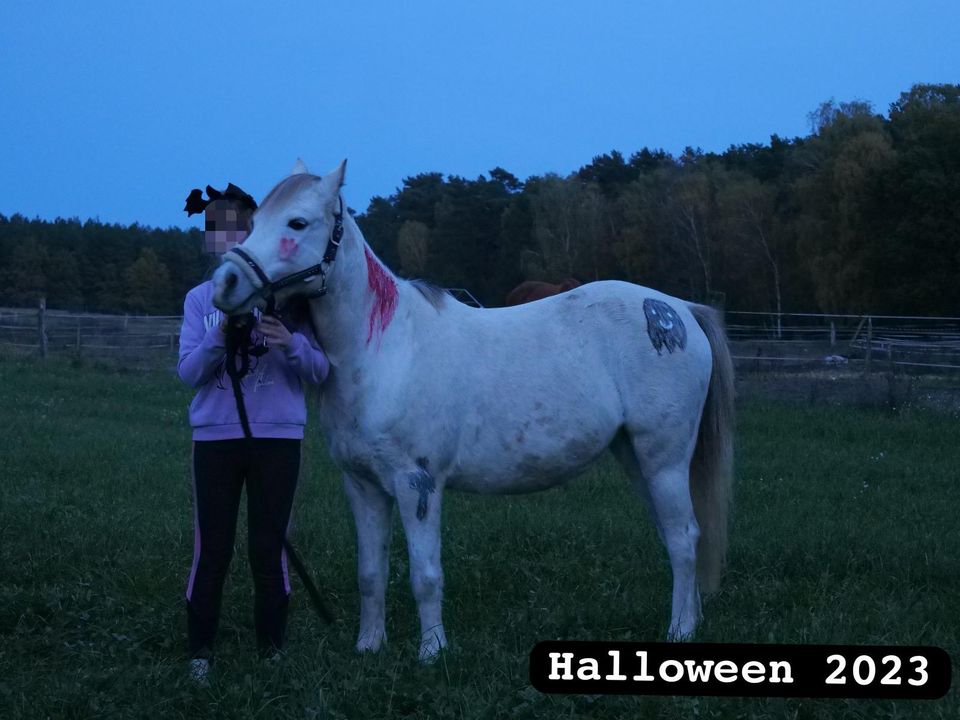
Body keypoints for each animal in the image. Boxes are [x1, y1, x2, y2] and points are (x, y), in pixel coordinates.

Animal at [212, 160, 736, 660]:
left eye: (298, 222)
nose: (225, 282)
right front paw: (369, 646)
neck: (387, 351)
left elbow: (425, 575)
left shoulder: (417, 484)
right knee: (678, 534)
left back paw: (680, 631)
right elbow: (370, 574)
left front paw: (432, 652)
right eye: (254, 221)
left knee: (684, 538)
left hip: (663, 459)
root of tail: (678, 310)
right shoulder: (362, 486)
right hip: (636, 458)